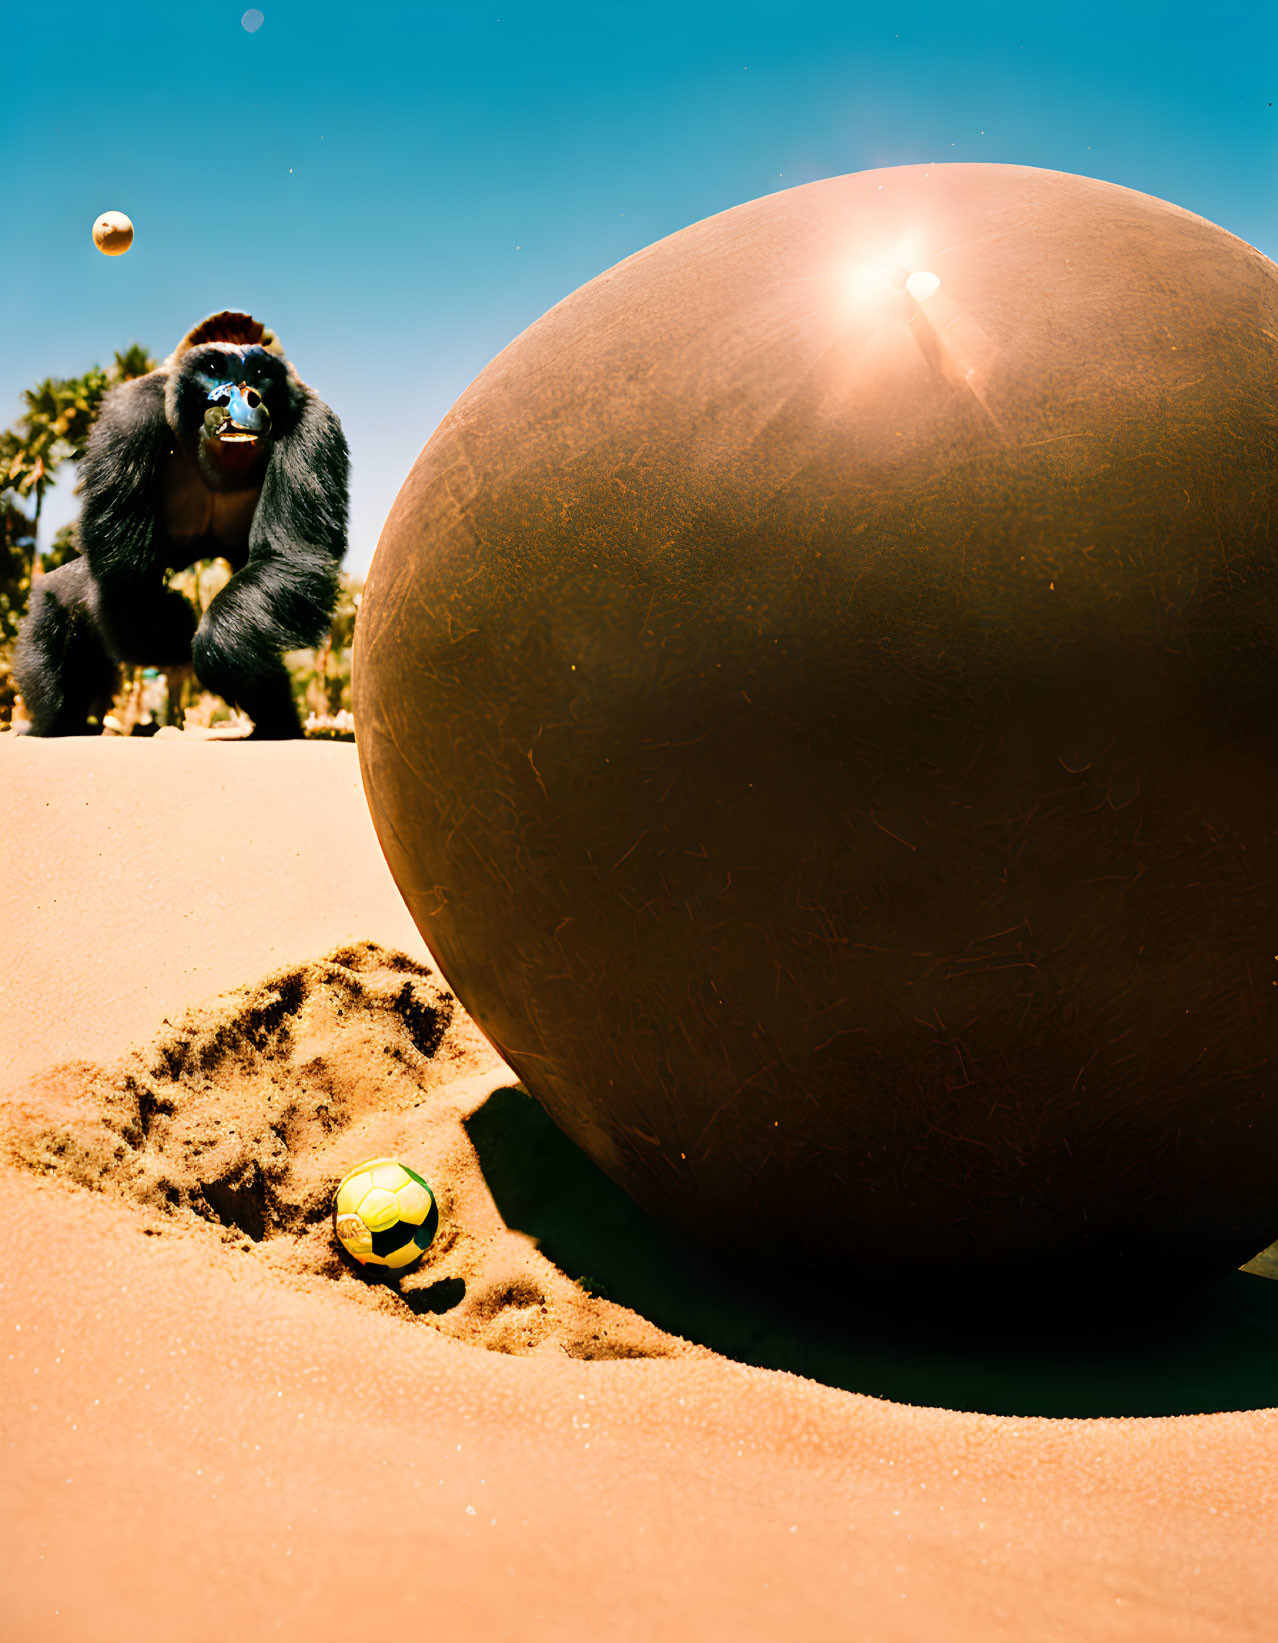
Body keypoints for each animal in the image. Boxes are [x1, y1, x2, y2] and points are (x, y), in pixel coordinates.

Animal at [13, 310, 348, 736]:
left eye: (259, 372)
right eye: (213, 368)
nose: (241, 398)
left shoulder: (313, 425)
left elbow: (287, 558)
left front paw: (215, 641)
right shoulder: (130, 414)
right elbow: (125, 576)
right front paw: (173, 630)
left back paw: (277, 723)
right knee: (61, 599)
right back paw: (58, 723)